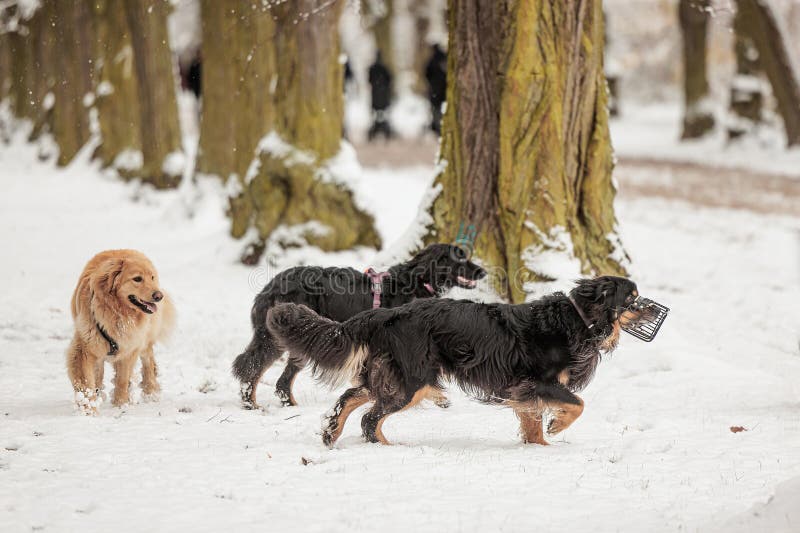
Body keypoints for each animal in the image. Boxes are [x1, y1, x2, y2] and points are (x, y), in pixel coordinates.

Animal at [68, 247, 176, 414]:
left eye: (151, 277)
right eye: (137, 279)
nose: (159, 296)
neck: (119, 314)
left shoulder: (129, 349)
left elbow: (122, 380)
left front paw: (120, 405)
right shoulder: (85, 348)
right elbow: (87, 382)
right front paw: (89, 410)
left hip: (143, 340)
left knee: (148, 360)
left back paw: (150, 391)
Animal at [228, 244, 484, 408]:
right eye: (460, 258)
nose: (483, 271)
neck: (416, 281)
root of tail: (270, 286)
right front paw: (436, 398)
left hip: (299, 337)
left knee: (281, 381)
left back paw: (288, 404)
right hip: (278, 336)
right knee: (252, 366)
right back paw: (250, 402)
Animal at [268, 276, 656, 446]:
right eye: (633, 298)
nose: (655, 310)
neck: (578, 317)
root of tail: (385, 315)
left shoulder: (524, 390)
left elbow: (532, 423)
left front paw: (539, 448)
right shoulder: (539, 383)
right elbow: (577, 404)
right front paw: (557, 427)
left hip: (395, 374)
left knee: (351, 398)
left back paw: (332, 432)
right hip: (414, 381)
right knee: (370, 418)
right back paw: (386, 446)